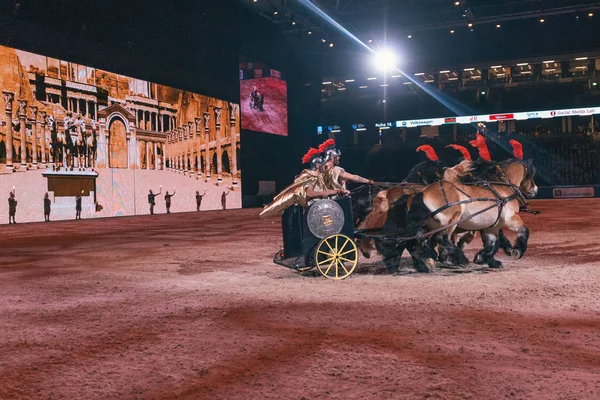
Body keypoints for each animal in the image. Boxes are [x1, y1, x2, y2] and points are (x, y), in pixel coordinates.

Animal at [380, 158, 540, 274]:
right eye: (531, 176)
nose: (535, 189)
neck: (502, 188)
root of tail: (421, 192)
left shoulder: (491, 227)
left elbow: (493, 244)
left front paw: (484, 258)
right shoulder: (510, 218)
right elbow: (524, 231)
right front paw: (517, 250)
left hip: (428, 225)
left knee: (414, 241)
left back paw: (414, 264)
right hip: (452, 219)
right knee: (440, 238)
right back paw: (459, 258)